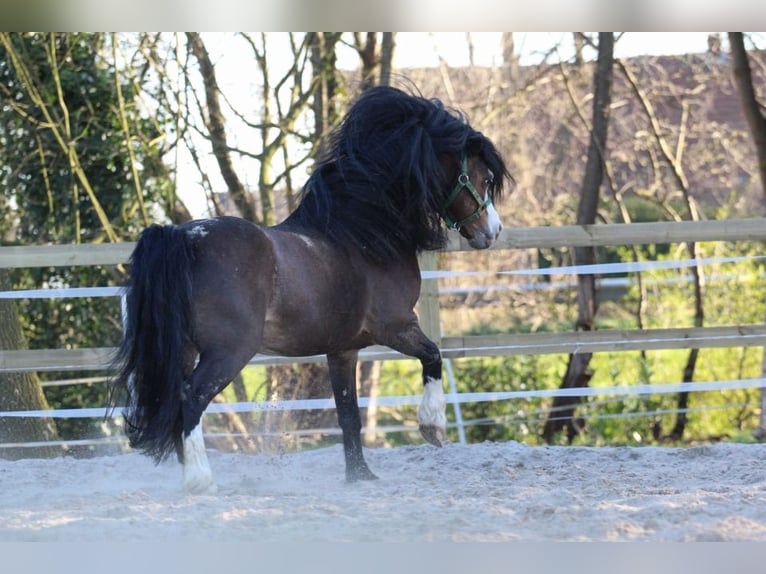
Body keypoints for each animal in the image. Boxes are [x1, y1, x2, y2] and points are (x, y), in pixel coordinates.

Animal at [110, 85, 511, 493]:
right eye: (479, 176)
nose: (492, 231)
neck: (361, 235)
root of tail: (184, 237)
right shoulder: (395, 326)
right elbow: (433, 356)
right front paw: (433, 426)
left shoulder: (343, 349)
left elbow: (348, 414)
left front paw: (359, 475)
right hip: (229, 351)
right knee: (191, 399)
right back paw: (199, 480)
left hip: (186, 349)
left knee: (174, 400)